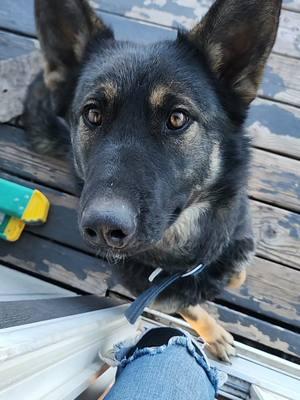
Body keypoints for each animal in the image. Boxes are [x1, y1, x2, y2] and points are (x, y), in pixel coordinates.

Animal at [24, 0, 282, 360]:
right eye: (93, 114)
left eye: (177, 118)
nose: (103, 227)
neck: (188, 256)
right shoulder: (158, 294)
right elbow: (192, 308)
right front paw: (214, 334)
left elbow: (236, 271)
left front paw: (233, 277)